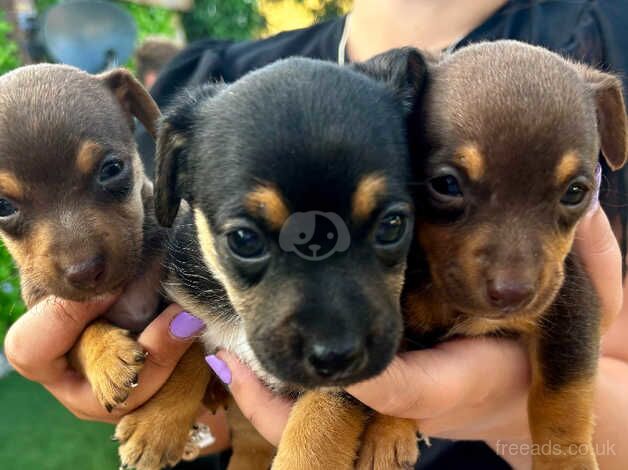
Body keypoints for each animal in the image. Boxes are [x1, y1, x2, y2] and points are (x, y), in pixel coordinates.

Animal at [0, 65, 211, 470]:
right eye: (1, 206)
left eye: (111, 169)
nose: (84, 270)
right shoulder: (47, 308)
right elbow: (81, 334)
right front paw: (107, 357)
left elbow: (192, 356)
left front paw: (154, 428)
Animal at [153, 49, 426, 468]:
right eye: (244, 239)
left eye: (392, 225)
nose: (336, 356)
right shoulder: (188, 301)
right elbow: (187, 347)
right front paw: (154, 426)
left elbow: (318, 428)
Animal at [358, 41, 628, 470]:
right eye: (445, 184)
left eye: (576, 192)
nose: (513, 294)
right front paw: (387, 434)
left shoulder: (572, 305)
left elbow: (564, 400)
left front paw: (566, 461)